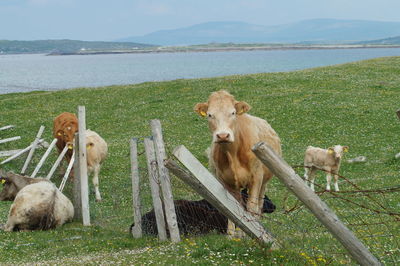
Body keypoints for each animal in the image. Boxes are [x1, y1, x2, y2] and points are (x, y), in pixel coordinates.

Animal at [194, 90, 282, 236]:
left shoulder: (256, 178)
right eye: (210, 115)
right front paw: (232, 234)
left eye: (233, 112)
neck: (233, 155)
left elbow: (251, 207)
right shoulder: (224, 181)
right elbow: (232, 207)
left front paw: (252, 231)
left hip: (264, 181)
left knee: (259, 203)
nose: (223, 136)